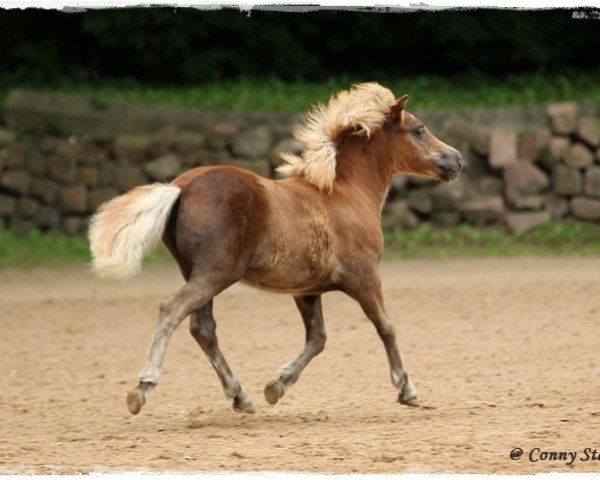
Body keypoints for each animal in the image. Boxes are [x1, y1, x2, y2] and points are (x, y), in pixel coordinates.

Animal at [89, 80, 464, 414]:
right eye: (419, 129)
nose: (457, 160)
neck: (345, 193)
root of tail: (180, 187)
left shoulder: (307, 290)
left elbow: (318, 338)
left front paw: (276, 386)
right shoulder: (364, 276)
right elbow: (386, 326)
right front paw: (407, 390)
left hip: (196, 271)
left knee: (203, 328)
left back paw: (241, 397)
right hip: (216, 272)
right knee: (172, 309)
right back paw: (142, 388)